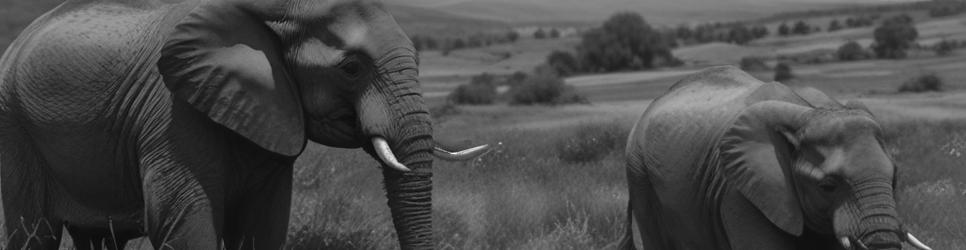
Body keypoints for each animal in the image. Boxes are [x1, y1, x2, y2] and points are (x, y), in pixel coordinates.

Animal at [0, 0, 488, 250]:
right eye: (351, 68)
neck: (277, 10)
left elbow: (263, 225)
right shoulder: (171, 112)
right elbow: (184, 221)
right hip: (14, 126)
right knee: (33, 232)